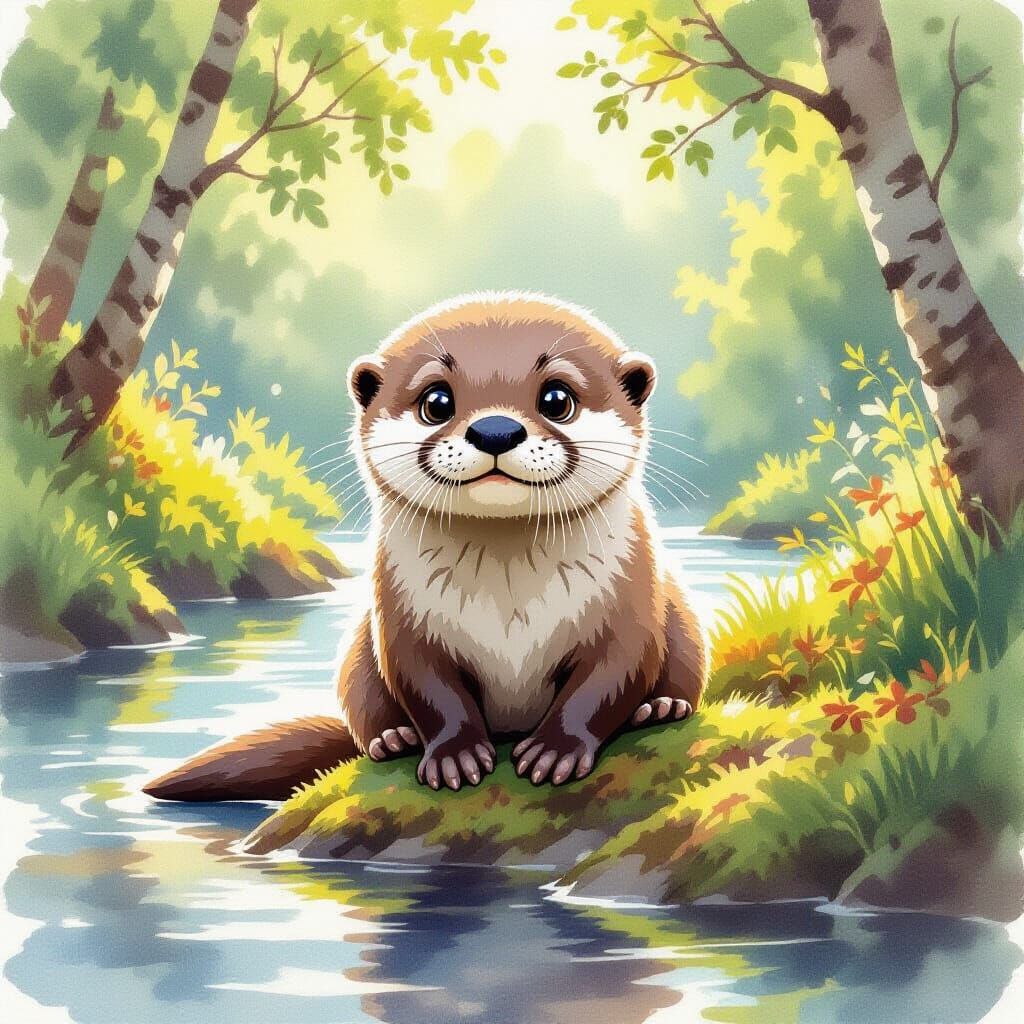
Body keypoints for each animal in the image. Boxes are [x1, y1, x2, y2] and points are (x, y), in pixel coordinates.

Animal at [144, 293, 706, 800]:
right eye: (437, 401)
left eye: (557, 399)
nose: (496, 429)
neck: (510, 603)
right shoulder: (400, 615)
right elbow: (429, 689)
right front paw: (455, 755)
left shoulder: (631, 602)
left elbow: (608, 679)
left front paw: (556, 750)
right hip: (356, 654)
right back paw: (393, 739)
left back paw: (661, 709)